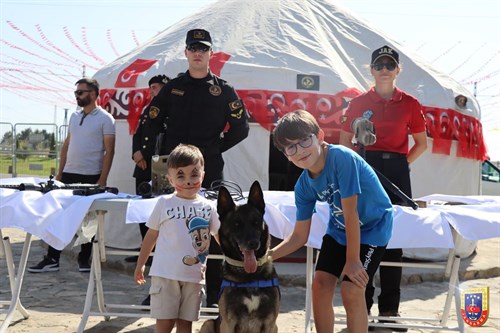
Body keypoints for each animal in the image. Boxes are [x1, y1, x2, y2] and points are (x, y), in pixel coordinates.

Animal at [199, 180, 280, 332]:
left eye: (256, 222)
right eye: (236, 224)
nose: (253, 243)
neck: (249, 277)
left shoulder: (270, 324)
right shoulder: (228, 323)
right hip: (207, 323)